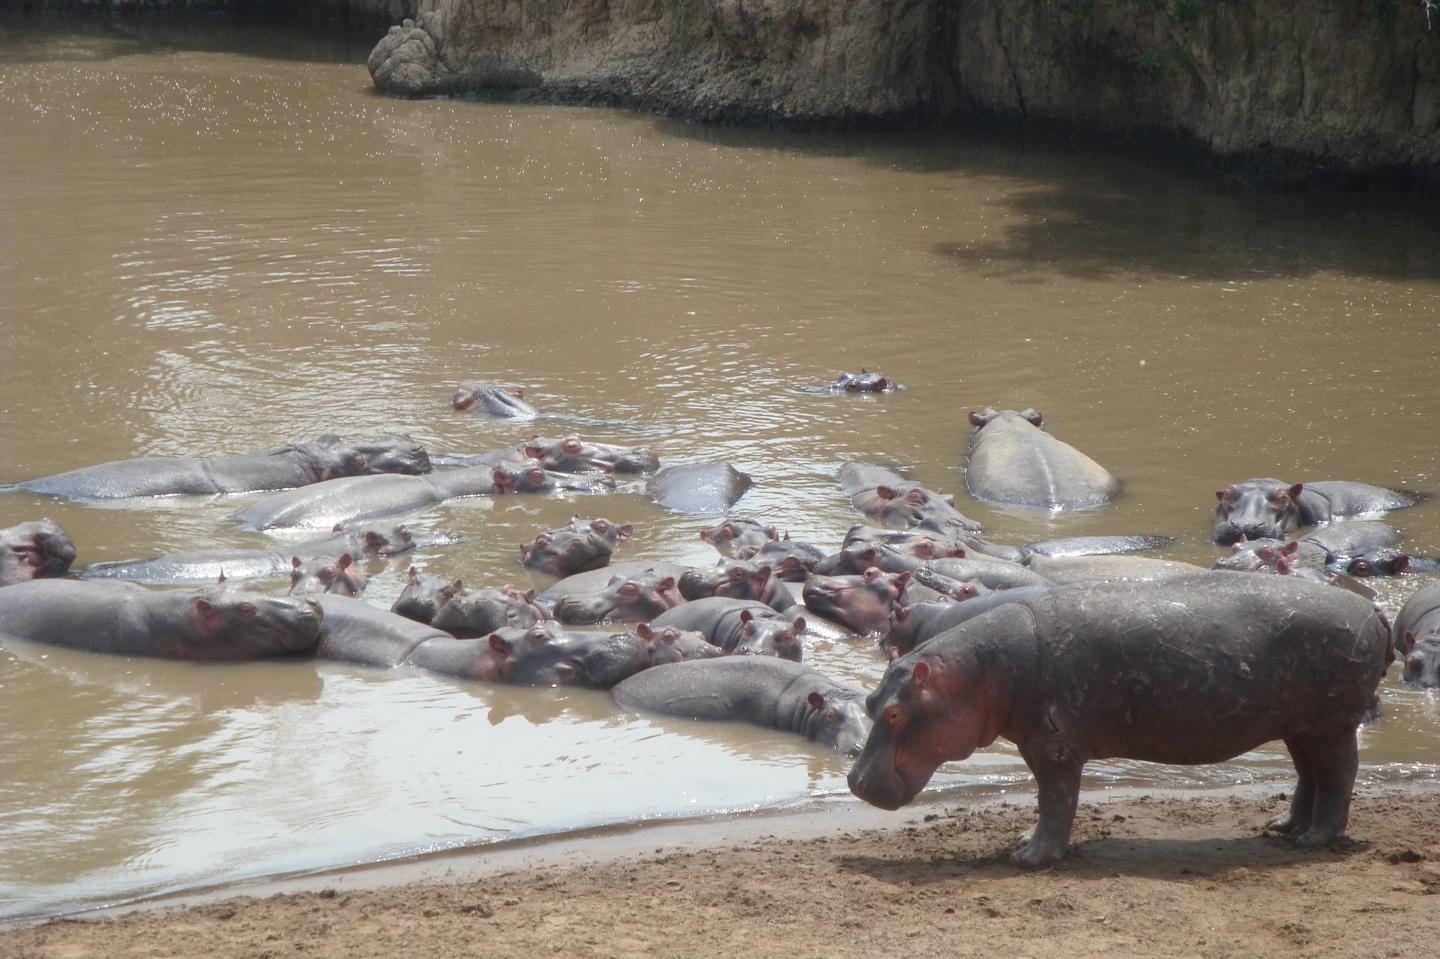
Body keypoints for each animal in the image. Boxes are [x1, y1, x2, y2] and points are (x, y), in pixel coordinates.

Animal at [848, 573, 1391, 865]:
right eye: (870, 702)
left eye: (894, 712)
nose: (853, 782)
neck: (976, 673)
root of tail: (1374, 611)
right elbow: (1049, 802)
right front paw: (1023, 841)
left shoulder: (1054, 748)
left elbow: (1056, 800)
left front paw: (1030, 857)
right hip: (1300, 725)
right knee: (1309, 774)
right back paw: (1284, 827)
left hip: (1331, 723)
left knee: (1338, 775)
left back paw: (1316, 839)